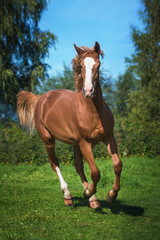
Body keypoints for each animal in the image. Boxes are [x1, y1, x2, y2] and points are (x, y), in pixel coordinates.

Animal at [16, 42, 122, 209]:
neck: (92, 111)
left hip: (75, 143)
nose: (88, 91)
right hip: (48, 140)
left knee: (78, 166)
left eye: (98, 65)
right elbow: (95, 172)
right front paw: (87, 193)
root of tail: (41, 98)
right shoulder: (85, 142)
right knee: (54, 164)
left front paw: (111, 195)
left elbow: (117, 165)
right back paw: (68, 196)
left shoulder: (108, 138)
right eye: (81, 66)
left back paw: (92, 200)